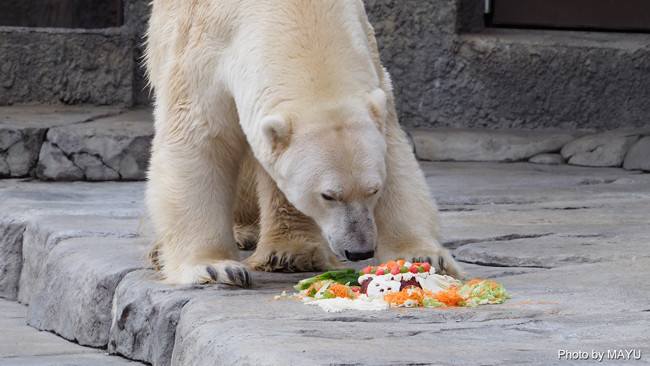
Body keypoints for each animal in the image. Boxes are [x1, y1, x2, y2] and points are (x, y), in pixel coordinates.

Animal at [145, 0, 464, 286]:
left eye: (374, 190)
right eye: (328, 196)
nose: (359, 250)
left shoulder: (372, 68)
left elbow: (395, 153)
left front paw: (423, 256)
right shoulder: (207, 51)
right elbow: (200, 140)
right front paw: (215, 267)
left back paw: (290, 252)